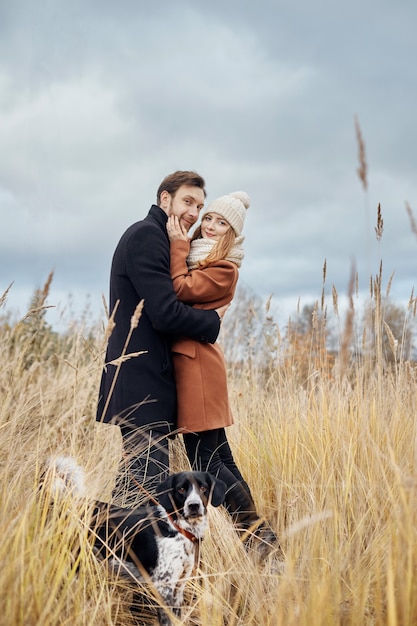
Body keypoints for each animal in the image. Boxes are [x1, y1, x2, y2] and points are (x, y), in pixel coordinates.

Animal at [43, 454, 226, 624]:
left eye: (203, 487)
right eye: (181, 489)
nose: (194, 505)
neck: (177, 527)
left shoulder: (179, 587)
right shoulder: (163, 588)